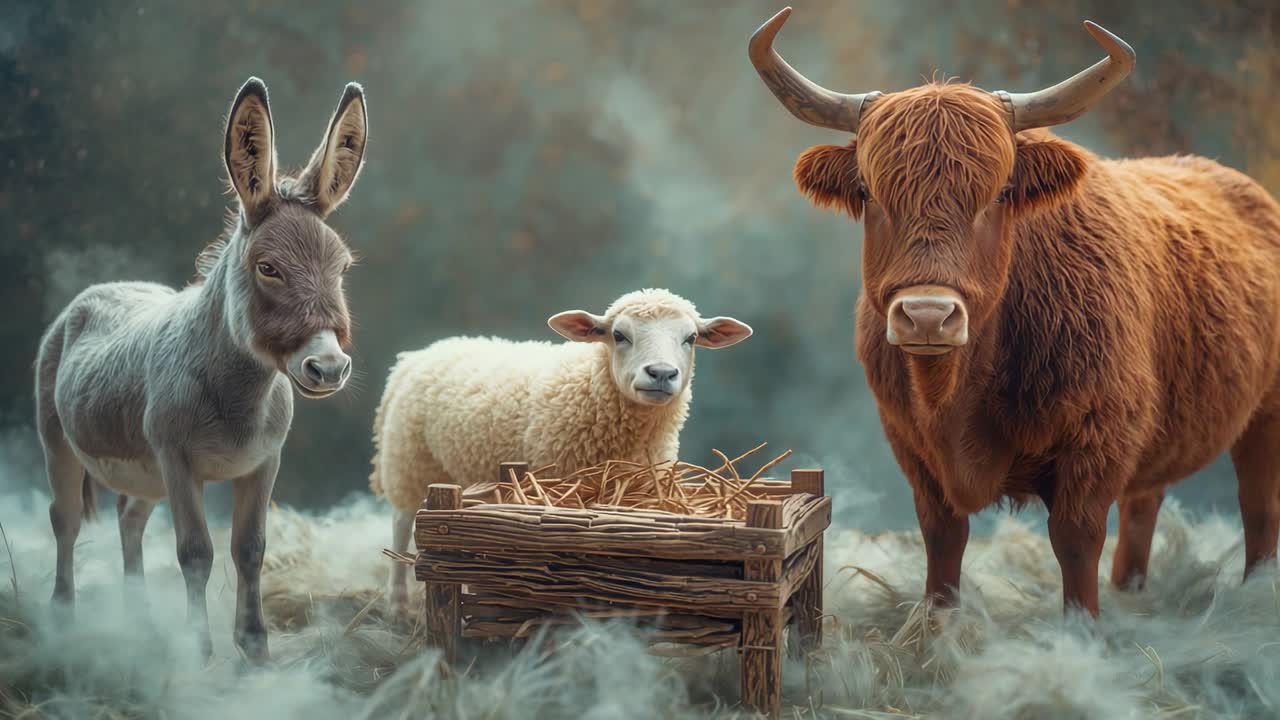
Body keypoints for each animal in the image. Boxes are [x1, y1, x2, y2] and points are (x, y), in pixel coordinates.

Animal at [369, 288, 753, 614]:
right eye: (619, 335)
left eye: (691, 339)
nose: (661, 373)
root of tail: (416, 356)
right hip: (409, 461)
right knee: (401, 526)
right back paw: (398, 605)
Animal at [749, 7, 1280, 616]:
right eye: (867, 192)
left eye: (1001, 192)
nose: (927, 316)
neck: (958, 391)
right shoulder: (912, 448)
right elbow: (943, 537)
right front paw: (939, 623)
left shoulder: (1097, 439)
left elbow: (1076, 540)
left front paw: (1082, 629)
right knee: (1144, 505)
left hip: (1266, 413)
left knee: (1257, 503)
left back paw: (1254, 593)